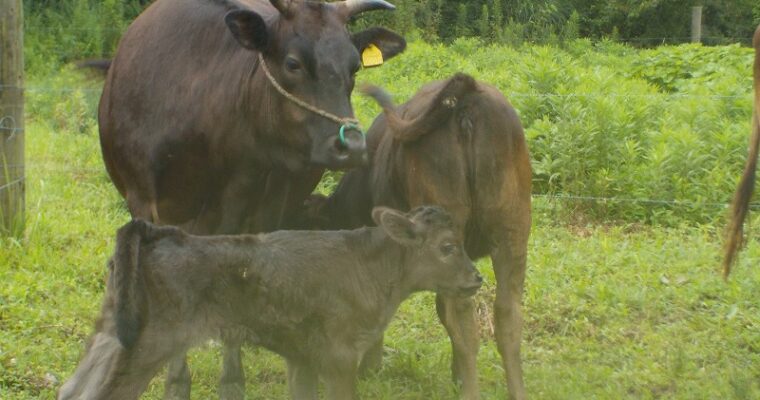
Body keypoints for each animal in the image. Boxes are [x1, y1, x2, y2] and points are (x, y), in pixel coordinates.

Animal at [56, 206, 480, 400]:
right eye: (448, 246)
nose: (476, 277)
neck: (370, 266)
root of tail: (157, 234)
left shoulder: (303, 357)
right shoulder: (340, 357)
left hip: (111, 332)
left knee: (75, 389)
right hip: (149, 344)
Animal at [98, 1, 406, 398]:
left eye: (354, 66)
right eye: (292, 63)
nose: (351, 147)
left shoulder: (248, 204)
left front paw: (232, 380)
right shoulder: (143, 200)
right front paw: (176, 381)